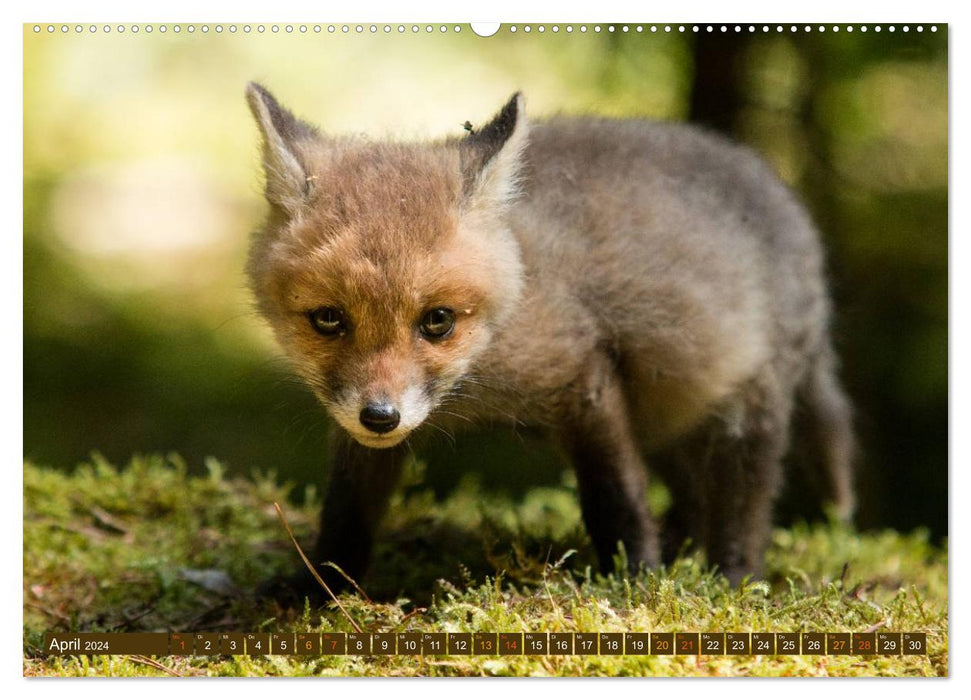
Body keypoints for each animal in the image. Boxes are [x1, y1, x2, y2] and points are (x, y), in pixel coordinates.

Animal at [247, 80, 856, 596]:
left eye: (437, 320)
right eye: (329, 319)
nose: (380, 416)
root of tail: (786, 199)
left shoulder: (585, 378)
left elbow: (616, 498)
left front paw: (634, 580)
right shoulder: (362, 430)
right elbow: (347, 511)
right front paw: (319, 586)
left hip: (743, 410)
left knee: (744, 506)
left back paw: (733, 578)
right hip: (671, 414)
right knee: (692, 497)